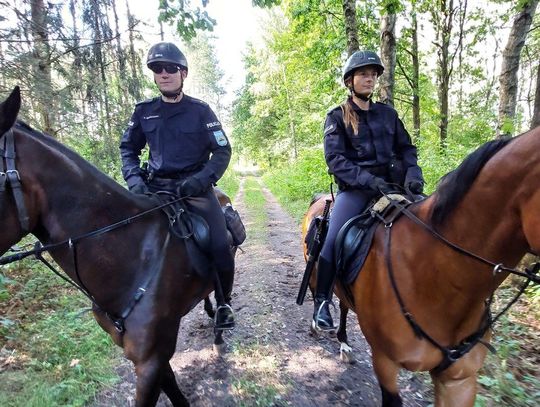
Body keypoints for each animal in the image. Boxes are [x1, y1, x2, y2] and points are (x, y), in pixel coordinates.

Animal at [302, 126, 540, 404]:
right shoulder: (385, 363)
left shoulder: (460, 381)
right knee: (319, 291)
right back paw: (319, 322)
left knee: (343, 304)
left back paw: (344, 343)